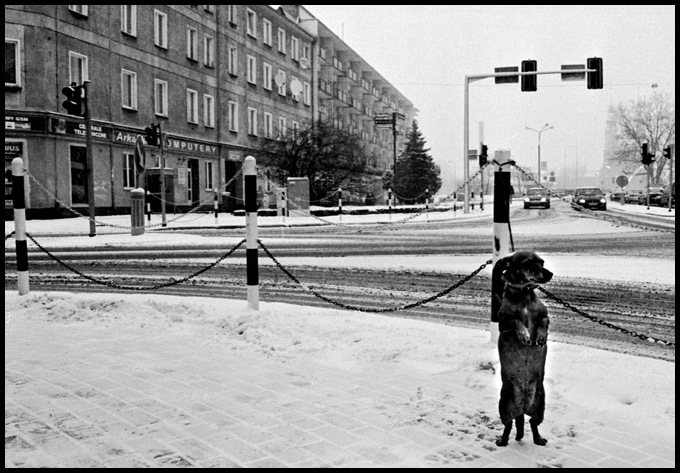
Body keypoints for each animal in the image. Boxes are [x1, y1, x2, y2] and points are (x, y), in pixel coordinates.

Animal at [494, 251, 552, 446]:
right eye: (528, 263)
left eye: (542, 262)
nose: (550, 274)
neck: (524, 295)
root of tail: (523, 408)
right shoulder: (503, 323)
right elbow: (515, 320)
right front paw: (524, 334)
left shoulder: (545, 315)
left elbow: (543, 321)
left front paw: (540, 336)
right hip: (503, 407)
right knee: (509, 425)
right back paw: (503, 440)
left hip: (540, 408)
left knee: (533, 424)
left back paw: (538, 438)